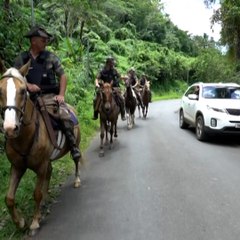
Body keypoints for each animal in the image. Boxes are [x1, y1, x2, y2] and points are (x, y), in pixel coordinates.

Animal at [0, 61, 83, 233]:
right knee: (49, 172)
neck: (25, 137)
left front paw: (35, 221)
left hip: (75, 143)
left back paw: (77, 180)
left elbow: (36, 193)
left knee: (76, 159)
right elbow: (9, 198)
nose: (10, 128)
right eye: (0, 90)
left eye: (23, 91)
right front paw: (20, 222)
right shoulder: (17, 167)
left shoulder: (40, 166)